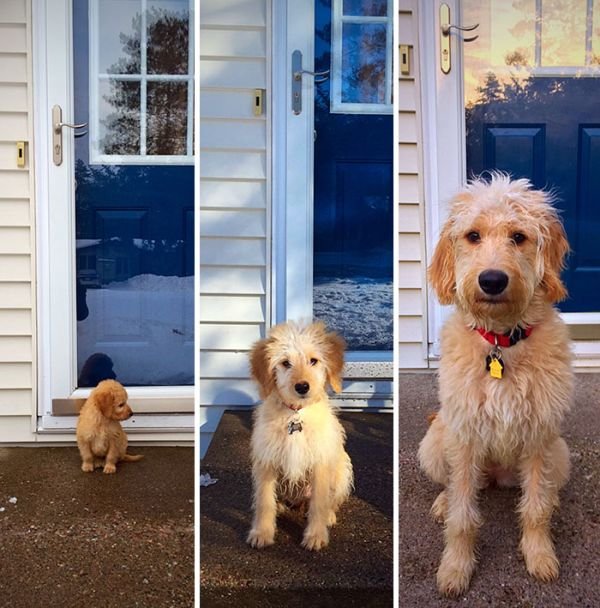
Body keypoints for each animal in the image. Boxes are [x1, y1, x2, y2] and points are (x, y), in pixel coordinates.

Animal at [247, 320, 354, 552]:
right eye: (286, 363)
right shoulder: (267, 461)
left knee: (329, 501)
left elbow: (319, 503)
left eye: (313, 360)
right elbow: (264, 501)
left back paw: (329, 516)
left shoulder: (320, 463)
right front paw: (262, 532)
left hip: (342, 471)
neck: (295, 415)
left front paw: (315, 535)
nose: (302, 386)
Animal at [420, 173, 576, 596]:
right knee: (454, 486)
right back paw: (442, 502)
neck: (502, 342)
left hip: (560, 454)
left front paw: (539, 555)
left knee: (543, 491)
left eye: (519, 237)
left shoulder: (540, 436)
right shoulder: (465, 436)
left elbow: (535, 509)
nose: (492, 280)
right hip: (436, 443)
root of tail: (498, 476)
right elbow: (462, 517)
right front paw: (455, 567)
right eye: (472, 236)